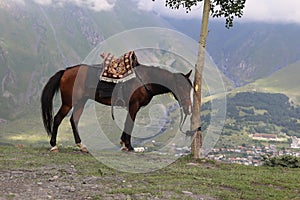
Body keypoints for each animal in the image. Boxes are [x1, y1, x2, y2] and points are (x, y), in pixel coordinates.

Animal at [40, 62, 192, 152]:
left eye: (190, 88)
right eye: (180, 86)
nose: (188, 107)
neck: (144, 80)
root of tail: (65, 72)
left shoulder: (132, 107)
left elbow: (127, 123)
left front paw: (123, 144)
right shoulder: (134, 105)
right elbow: (130, 124)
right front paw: (129, 146)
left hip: (81, 102)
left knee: (74, 120)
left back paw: (81, 145)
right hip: (69, 103)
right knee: (58, 119)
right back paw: (53, 145)